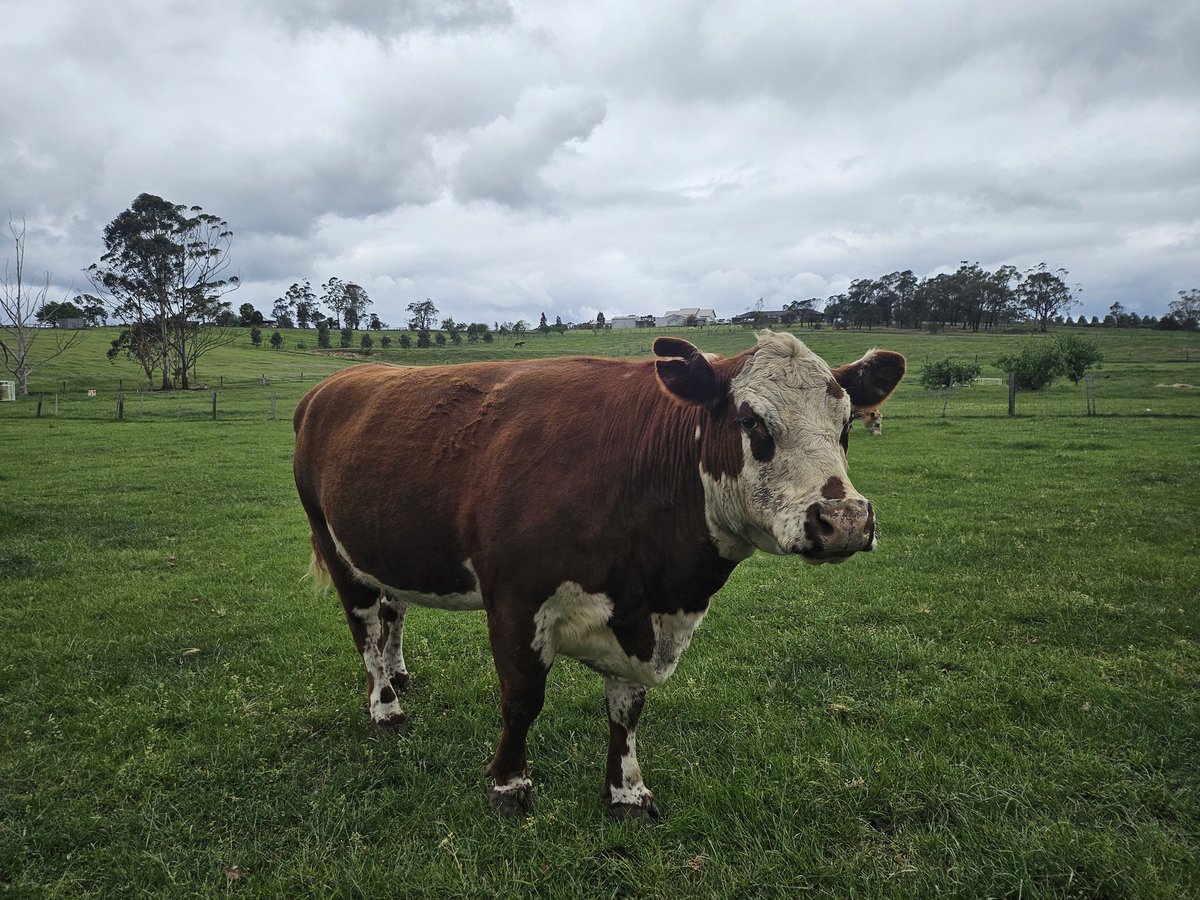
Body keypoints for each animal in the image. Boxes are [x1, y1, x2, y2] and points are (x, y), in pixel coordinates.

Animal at [292, 331, 905, 821]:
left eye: (846, 425)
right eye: (750, 420)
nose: (845, 520)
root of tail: (338, 381)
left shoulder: (639, 617)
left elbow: (626, 711)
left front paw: (627, 792)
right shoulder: (517, 601)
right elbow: (522, 699)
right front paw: (508, 783)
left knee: (393, 611)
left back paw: (398, 674)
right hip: (333, 542)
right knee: (365, 627)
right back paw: (384, 704)